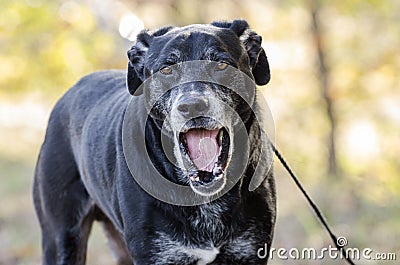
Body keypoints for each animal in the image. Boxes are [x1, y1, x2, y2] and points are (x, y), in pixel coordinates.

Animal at [33, 19, 276, 262]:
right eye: (166, 69)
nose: (192, 106)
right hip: (60, 238)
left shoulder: (248, 250)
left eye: (221, 65)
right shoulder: (156, 253)